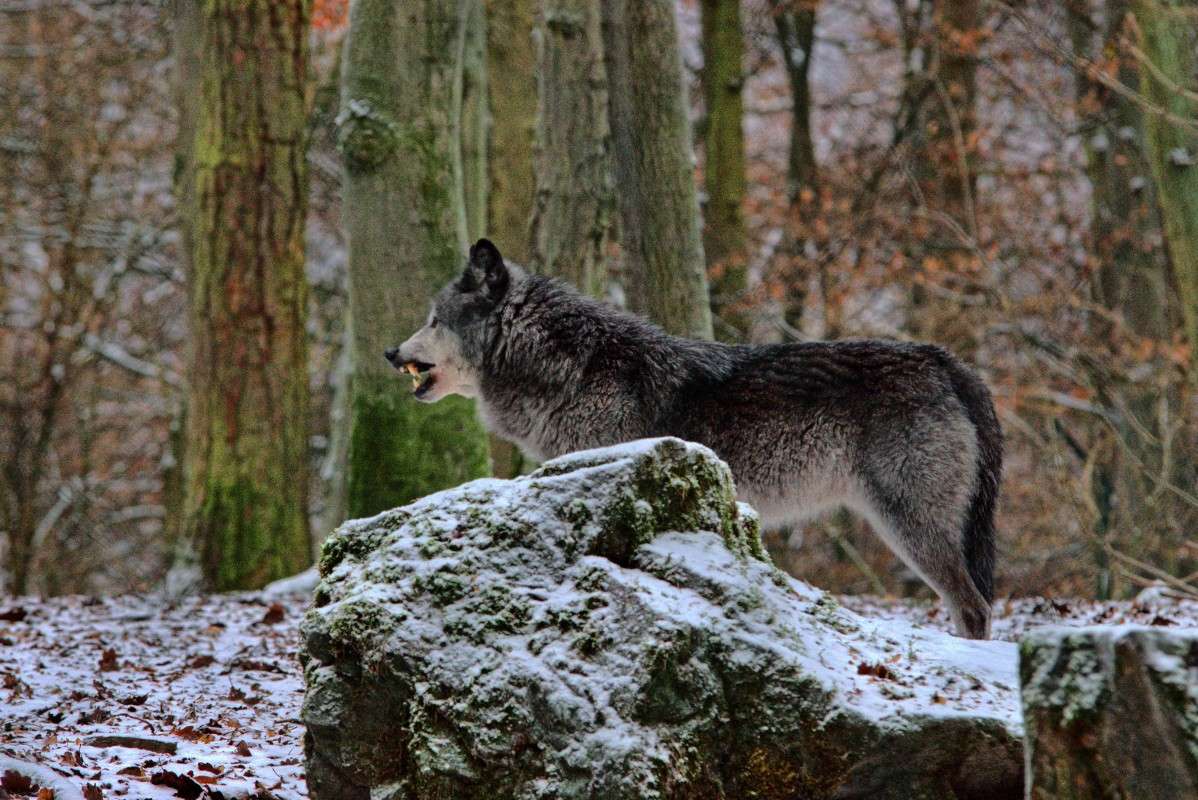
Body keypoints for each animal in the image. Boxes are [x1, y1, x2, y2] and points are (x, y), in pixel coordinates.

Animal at [386, 239, 1003, 639]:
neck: (570, 368)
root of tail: (948, 363)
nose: (390, 353)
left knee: (973, 608)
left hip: (908, 523)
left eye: (434, 320)